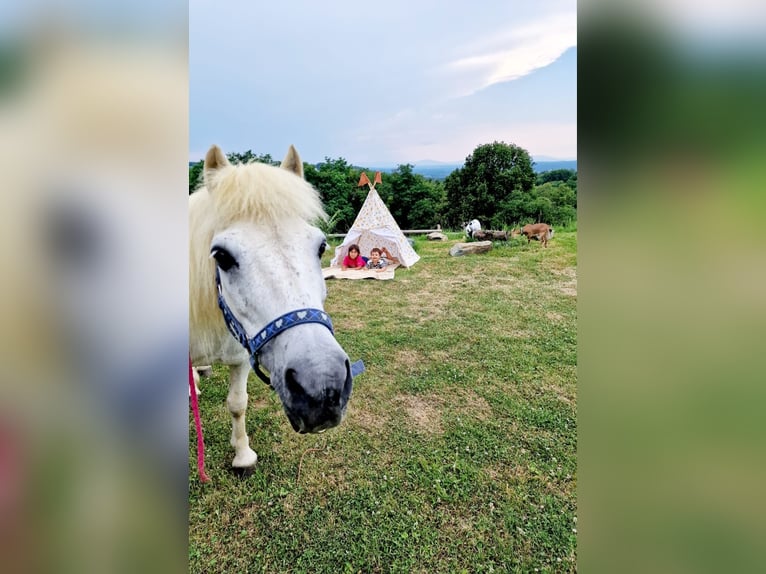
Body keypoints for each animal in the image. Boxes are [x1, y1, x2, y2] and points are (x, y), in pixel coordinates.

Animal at [190, 143, 352, 468]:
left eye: (321, 247)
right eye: (221, 256)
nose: (322, 388)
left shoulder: (241, 356)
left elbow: (238, 404)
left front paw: (242, 455)